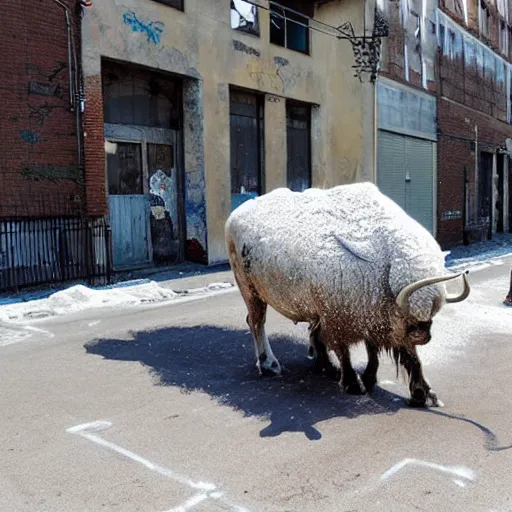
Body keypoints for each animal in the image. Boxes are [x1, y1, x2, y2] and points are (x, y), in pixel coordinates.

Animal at [226, 182, 470, 406]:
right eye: (408, 316)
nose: (424, 335)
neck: (386, 263)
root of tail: (235, 215)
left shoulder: (371, 315)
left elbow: (395, 353)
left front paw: (422, 393)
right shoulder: (341, 317)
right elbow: (345, 350)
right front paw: (354, 383)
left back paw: (323, 365)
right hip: (250, 290)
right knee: (257, 322)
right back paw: (270, 364)